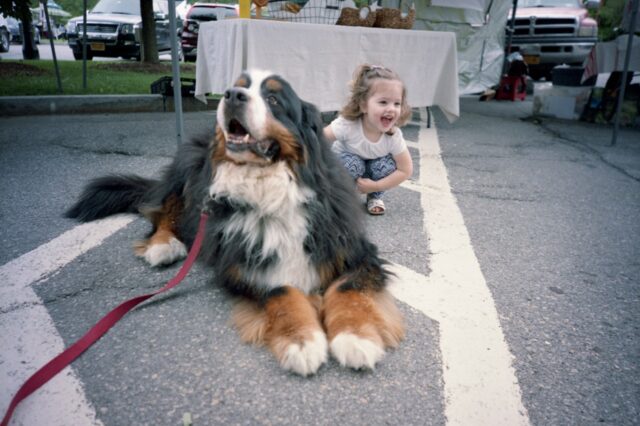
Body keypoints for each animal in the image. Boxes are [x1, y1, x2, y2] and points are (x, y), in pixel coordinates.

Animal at [65, 70, 404, 376]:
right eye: (238, 85)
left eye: (273, 99)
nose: (230, 95)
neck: (269, 189)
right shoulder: (242, 263)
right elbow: (281, 291)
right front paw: (301, 341)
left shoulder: (355, 249)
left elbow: (348, 288)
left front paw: (356, 338)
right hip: (187, 175)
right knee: (164, 212)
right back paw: (164, 246)